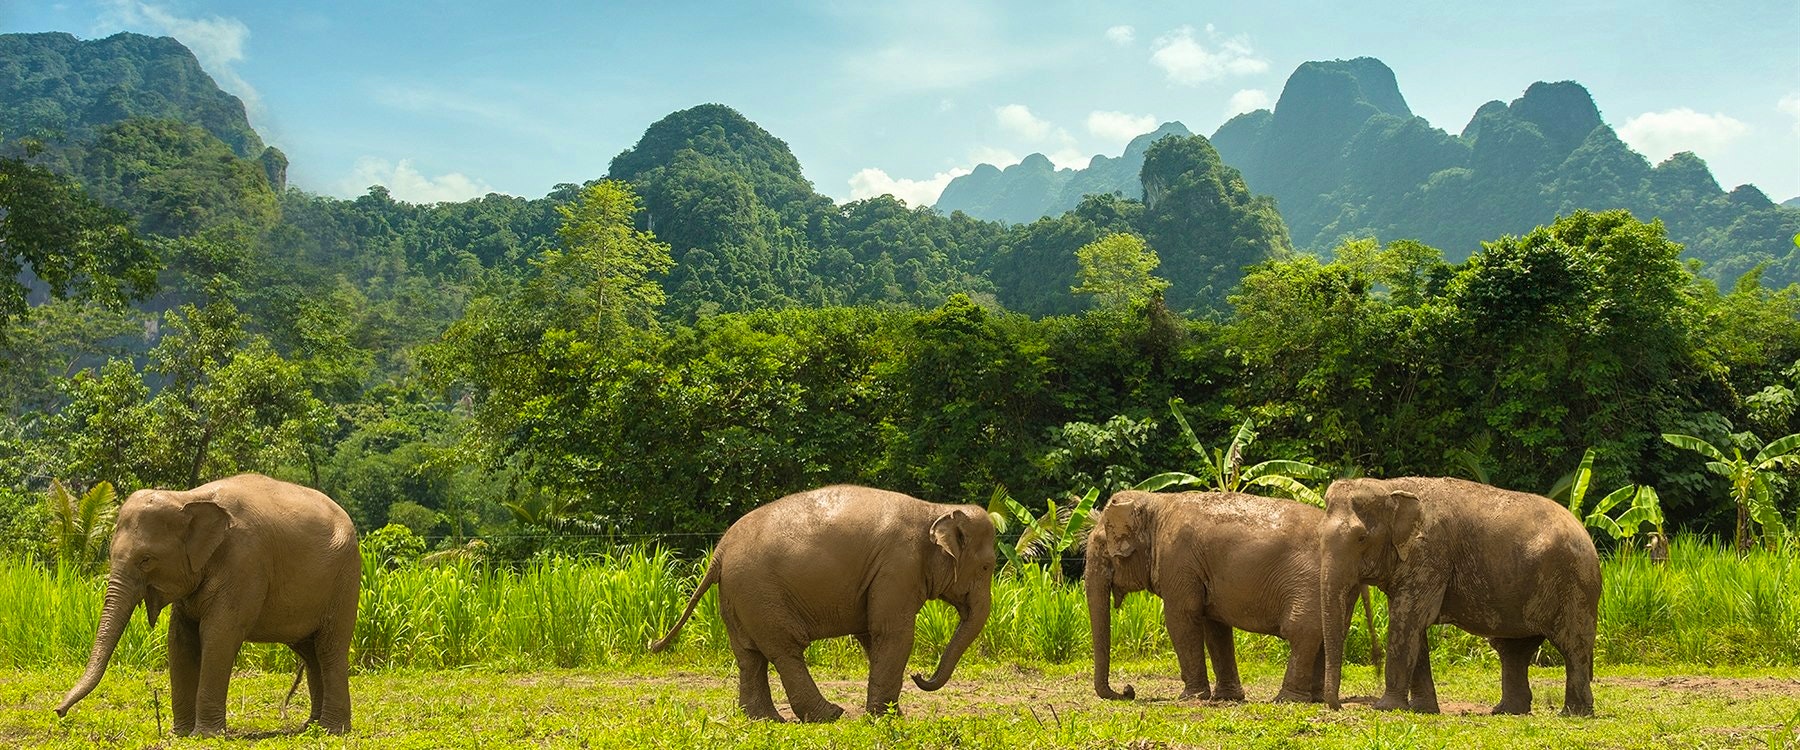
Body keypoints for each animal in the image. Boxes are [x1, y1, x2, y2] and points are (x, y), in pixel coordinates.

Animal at [56, 474, 361, 735]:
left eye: (146, 560)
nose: (59, 711)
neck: (188, 498)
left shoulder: (245, 562)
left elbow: (218, 635)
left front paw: (204, 735)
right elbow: (180, 639)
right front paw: (181, 733)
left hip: (345, 580)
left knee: (329, 648)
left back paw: (332, 729)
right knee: (310, 652)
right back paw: (310, 727)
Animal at [648, 485, 996, 722]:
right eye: (987, 568)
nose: (919, 676)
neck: (936, 509)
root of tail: (720, 551)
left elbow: (872, 636)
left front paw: (887, 714)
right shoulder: (898, 567)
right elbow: (893, 634)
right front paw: (886, 718)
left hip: (737, 597)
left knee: (749, 656)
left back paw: (766, 719)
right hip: (759, 593)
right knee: (784, 651)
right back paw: (828, 715)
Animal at [1087, 490, 1376, 703]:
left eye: (1102, 547)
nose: (1128, 690)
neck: (1156, 502)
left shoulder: (1178, 560)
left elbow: (1181, 619)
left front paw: (1189, 698)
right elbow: (1214, 627)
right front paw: (1227, 698)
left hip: (1310, 582)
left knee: (1302, 630)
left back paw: (1286, 700)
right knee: (1328, 633)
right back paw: (1314, 698)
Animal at [1319, 477, 1600, 716]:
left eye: (1361, 538)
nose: (1338, 706)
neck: (1390, 487)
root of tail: (1585, 533)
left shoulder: (1431, 554)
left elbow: (1407, 619)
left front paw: (1385, 709)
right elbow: (1414, 628)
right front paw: (1423, 710)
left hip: (1574, 585)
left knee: (1572, 646)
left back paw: (1573, 713)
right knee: (1513, 650)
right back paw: (1506, 711)